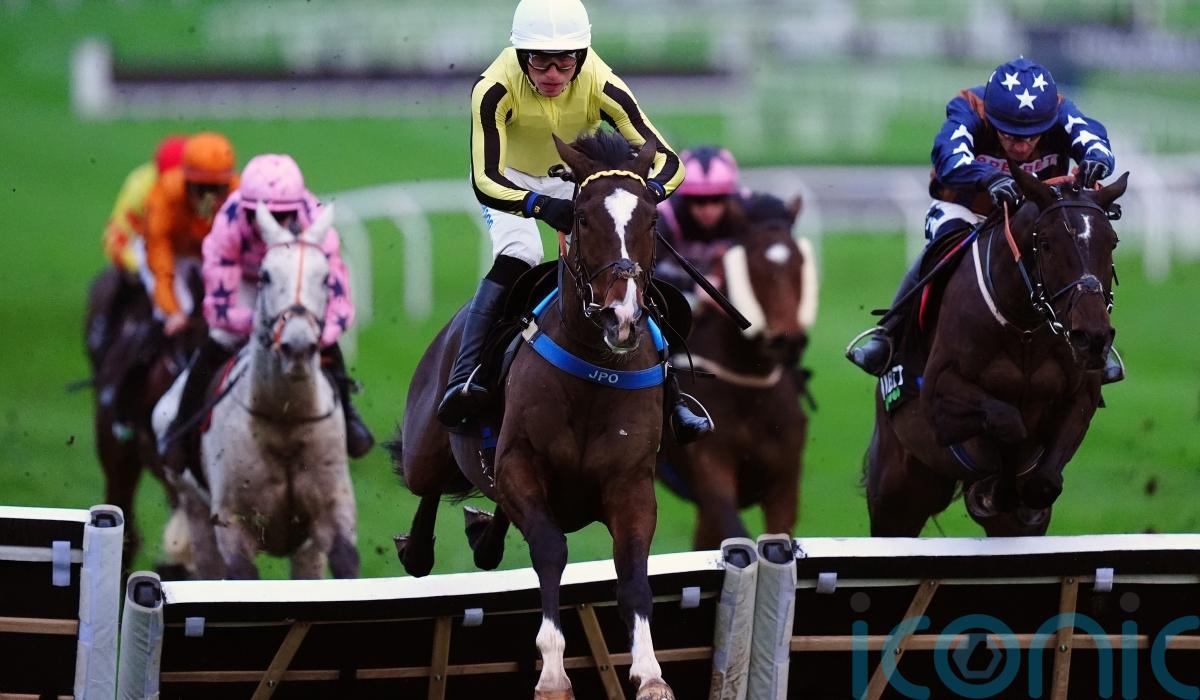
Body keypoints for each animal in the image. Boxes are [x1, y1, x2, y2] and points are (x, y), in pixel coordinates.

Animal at [393, 131, 677, 699]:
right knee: (428, 489)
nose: (622, 316)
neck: (595, 367)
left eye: (652, 220)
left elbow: (633, 568)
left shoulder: (632, 482)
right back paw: (417, 549)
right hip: (427, 451)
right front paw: (552, 673)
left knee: (493, 513)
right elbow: (549, 550)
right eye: (582, 218)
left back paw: (483, 534)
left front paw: (650, 672)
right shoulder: (522, 462)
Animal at [658, 192, 817, 550]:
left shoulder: (785, 482)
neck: (749, 387)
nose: (787, 340)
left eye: (800, 262)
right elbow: (735, 534)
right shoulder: (710, 471)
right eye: (754, 266)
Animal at [864, 166, 1129, 536]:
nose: (1091, 336)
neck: (1025, 329)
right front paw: (992, 490)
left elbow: (1044, 482)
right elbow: (1007, 421)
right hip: (896, 493)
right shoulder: (940, 396)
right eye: (1046, 243)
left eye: (1112, 242)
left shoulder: (1079, 399)